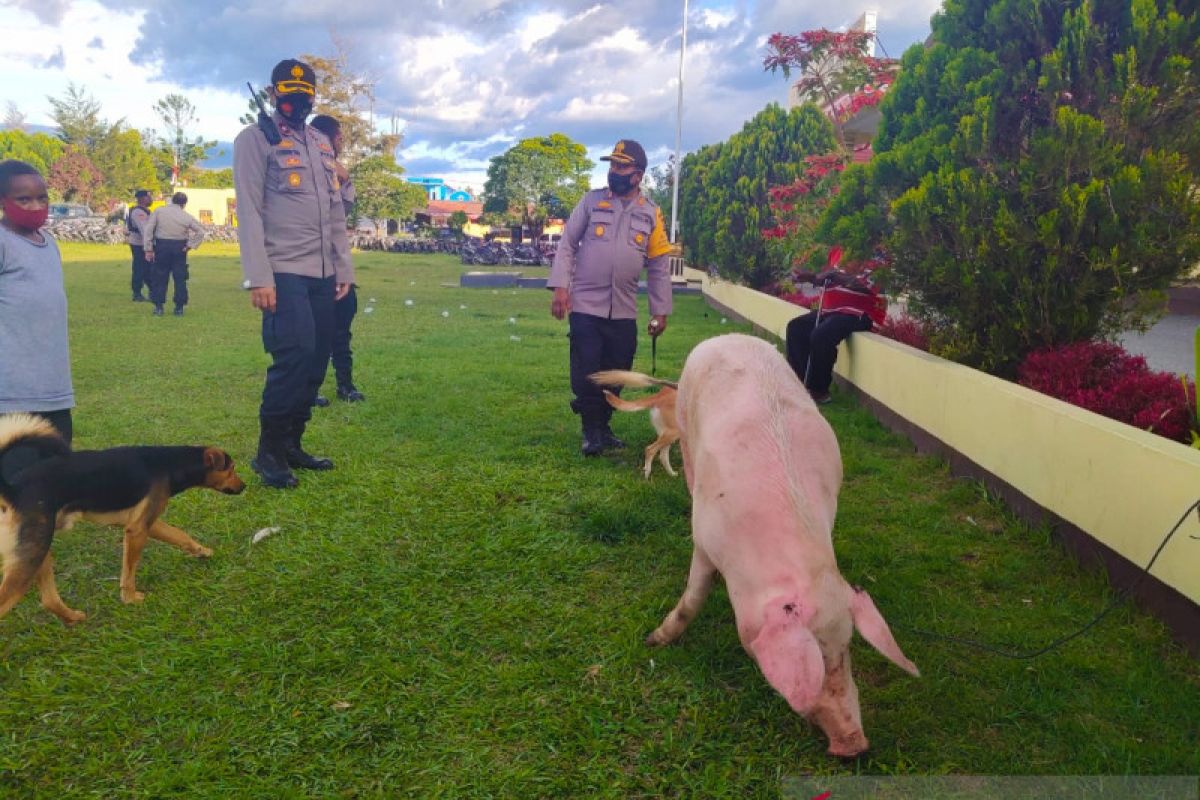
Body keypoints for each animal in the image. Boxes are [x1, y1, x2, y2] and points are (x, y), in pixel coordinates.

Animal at [0, 412, 243, 623]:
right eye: (231, 469)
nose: (244, 486)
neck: (171, 463)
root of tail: (13, 489)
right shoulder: (137, 530)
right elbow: (129, 572)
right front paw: (130, 599)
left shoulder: (146, 522)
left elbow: (180, 535)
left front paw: (202, 551)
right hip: (33, 553)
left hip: (39, 551)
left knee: (49, 600)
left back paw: (73, 618)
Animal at [648, 331, 916, 758]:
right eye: (813, 656)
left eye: (846, 650)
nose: (855, 744)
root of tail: (728, 335)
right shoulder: (705, 537)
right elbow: (692, 597)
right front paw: (654, 640)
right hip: (687, 426)